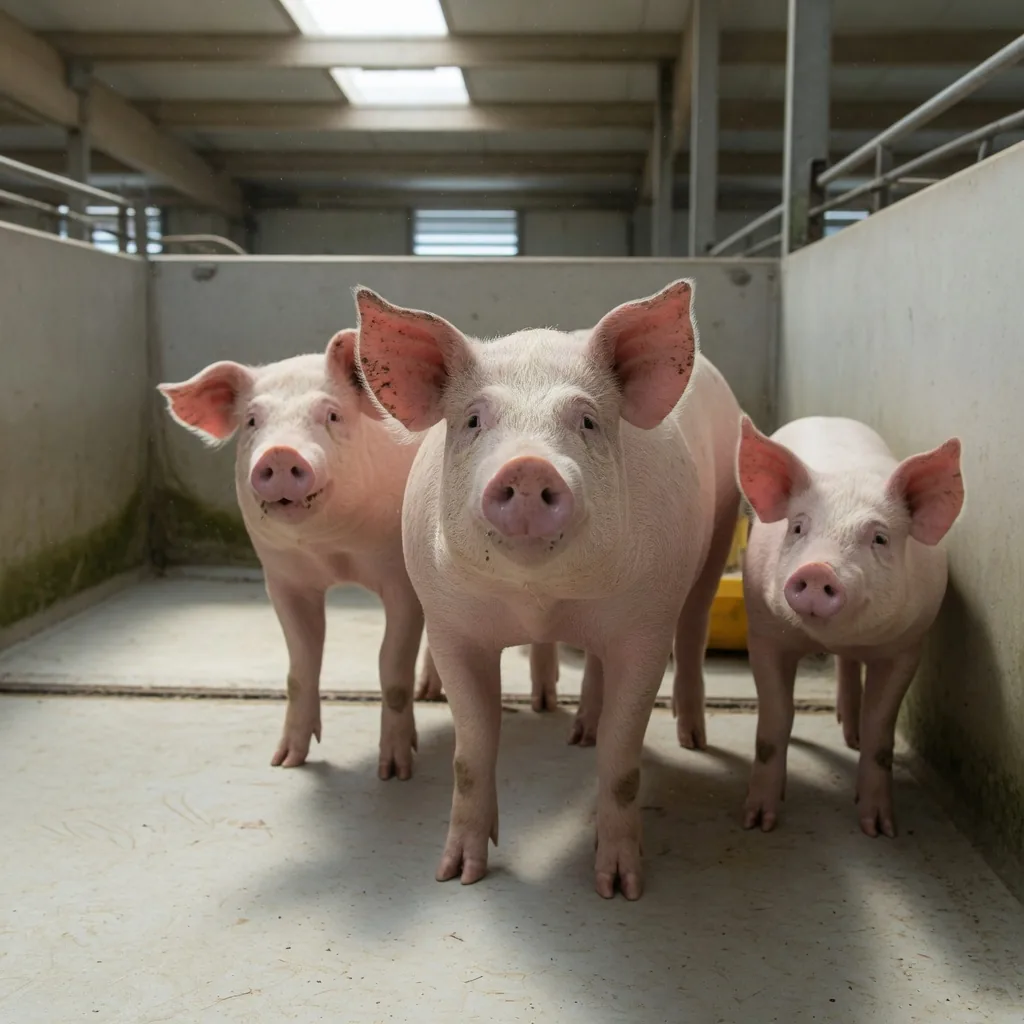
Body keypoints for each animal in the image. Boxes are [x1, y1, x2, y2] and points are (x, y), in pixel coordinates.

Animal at [158, 331, 441, 779]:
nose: (280, 454)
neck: (333, 553)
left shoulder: (400, 581)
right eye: (252, 421)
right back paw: (430, 692)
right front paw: (285, 762)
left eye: (332, 415)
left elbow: (391, 668)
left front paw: (394, 773)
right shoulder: (283, 580)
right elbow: (300, 667)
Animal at [355, 279, 741, 899]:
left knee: (695, 628)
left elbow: (622, 758)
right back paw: (578, 729)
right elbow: (470, 753)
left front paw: (619, 889)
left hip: (722, 526)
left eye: (586, 421)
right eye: (473, 420)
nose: (530, 466)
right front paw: (458, 875)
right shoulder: (451, 626)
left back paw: (692, 739)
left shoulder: (645, 627)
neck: (541, 599)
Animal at [736, 416, 964, 838]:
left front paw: (879, 829)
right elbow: (775, 720)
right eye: (798, 528)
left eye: (880, 538)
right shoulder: (763, 632)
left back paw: (850, 733)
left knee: (848, 665)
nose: (816, 569)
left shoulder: (907, 646)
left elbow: (880, 732)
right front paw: (758, 823)